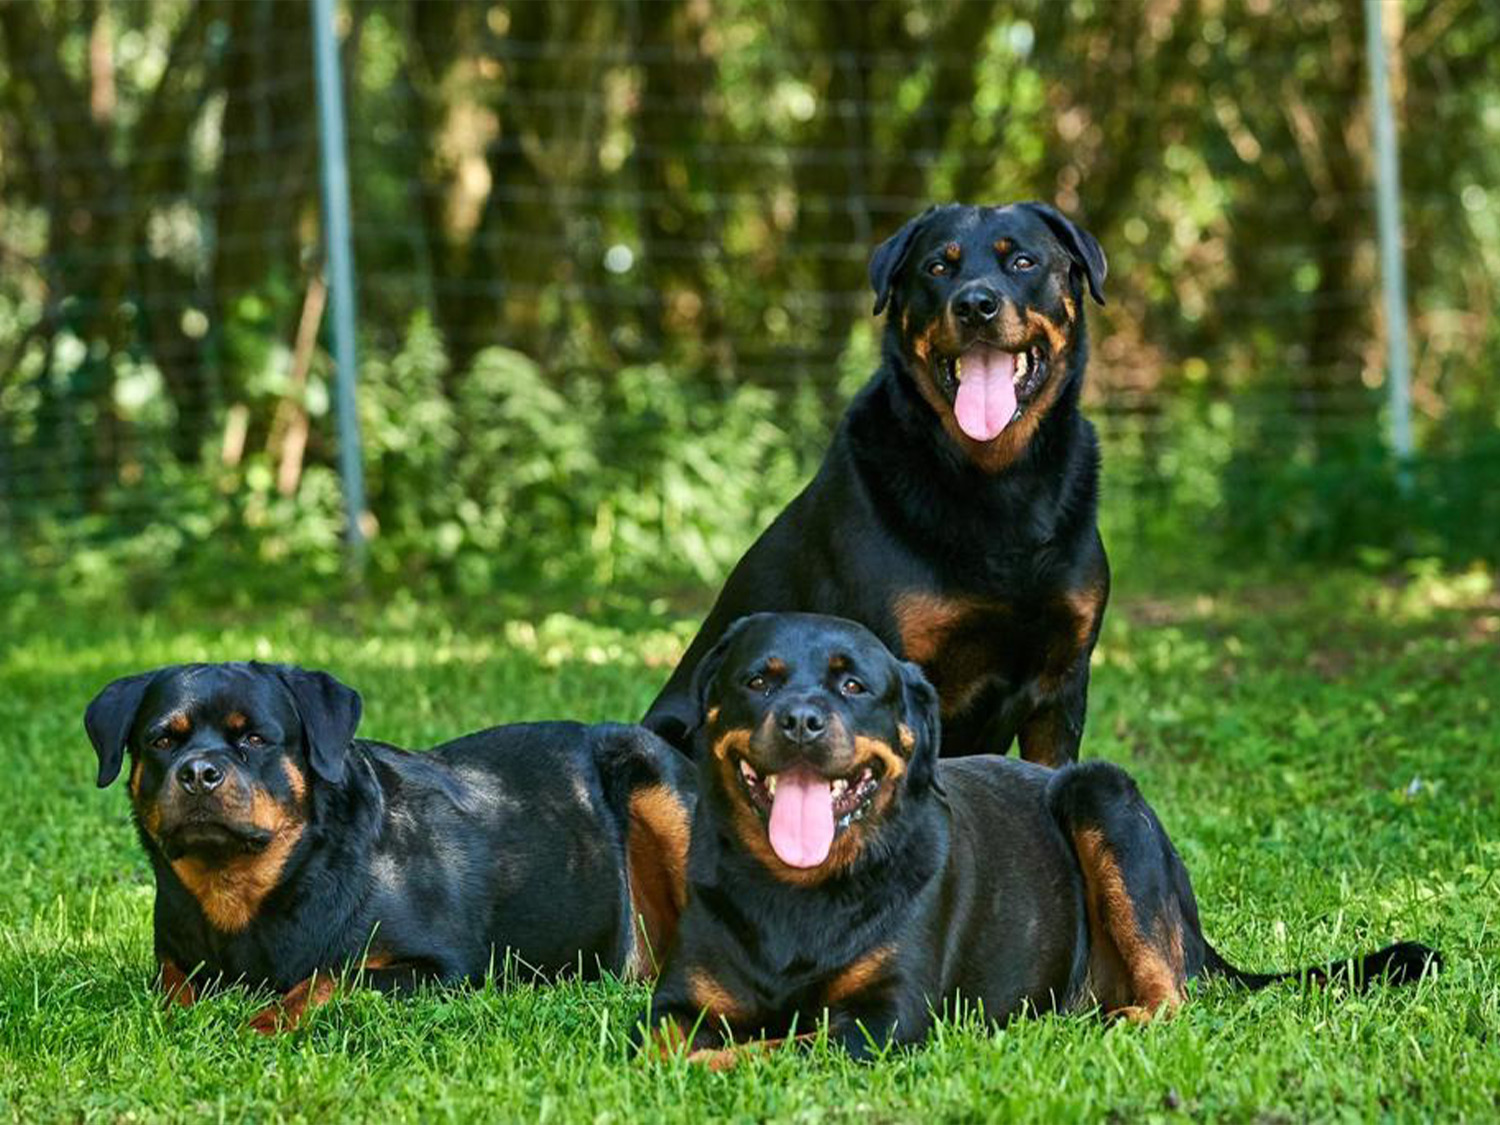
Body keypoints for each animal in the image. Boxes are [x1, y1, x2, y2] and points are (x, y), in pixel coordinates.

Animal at [90, 666, 699, 1038]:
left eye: (254, 739)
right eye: (162, 740)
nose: (198, 772)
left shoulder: (447, 968)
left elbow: (331, 976)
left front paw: (262, 1022)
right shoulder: (174, 959)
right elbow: (172, 987)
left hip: (656, 782)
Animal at [642, 618, 1440, 1068]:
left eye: (854, 686)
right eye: (758, 680)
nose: (803, 720)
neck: (798, 890)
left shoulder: (882, 1021)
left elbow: (766, 1049)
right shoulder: (677, 1001)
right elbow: (664, 1044)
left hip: (1103, 796)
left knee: (1173, 993)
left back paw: (1121, 1019)